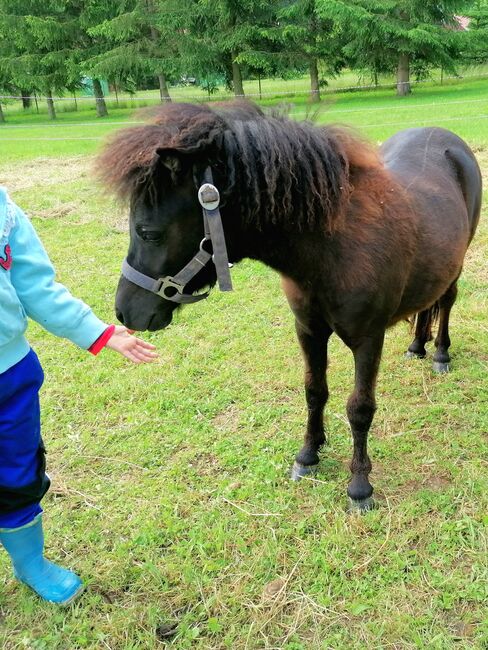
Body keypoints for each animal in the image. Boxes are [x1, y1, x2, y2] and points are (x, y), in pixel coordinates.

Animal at [97, 101, 482, 508]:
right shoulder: (309, 331)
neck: (332, 249)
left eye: (148, 233)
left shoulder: (368, 340)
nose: (125, 311)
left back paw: (439, 353)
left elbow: (360, 409)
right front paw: (308, 456)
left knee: (447, 302)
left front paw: (360, 486)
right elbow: (315, 392)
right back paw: (417, 345)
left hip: (456, 264)